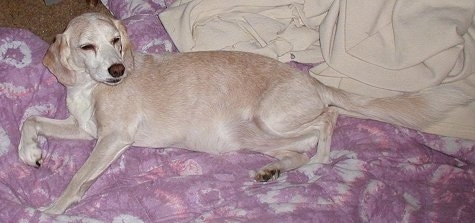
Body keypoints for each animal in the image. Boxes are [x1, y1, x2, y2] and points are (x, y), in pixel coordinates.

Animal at [17, 12, 472, 214]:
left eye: (116, 40)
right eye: (87, 46)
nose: (118, 70)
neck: (89, 88)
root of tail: (312, 81)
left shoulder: (112, 138)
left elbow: (78, 175)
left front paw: (54, 209)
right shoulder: (86, 131)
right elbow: (30, 119)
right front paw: (30, 152)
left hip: (272, 119)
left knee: (326, 122)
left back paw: (319, 162)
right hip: (250, 135)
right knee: (298, 147)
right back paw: (275, 171)